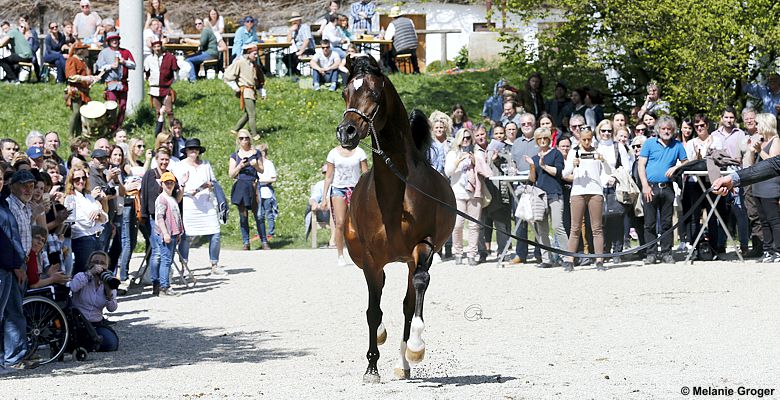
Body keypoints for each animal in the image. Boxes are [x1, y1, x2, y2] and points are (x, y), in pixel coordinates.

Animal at [336, 54, 458, 382]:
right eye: (345, 93)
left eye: (374, 94)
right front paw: (371, 368)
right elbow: (373, 310)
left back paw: (404, 362)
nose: (346, 132)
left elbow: (416, 290)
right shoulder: (370, 258)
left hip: (412, 258)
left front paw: (415, 348)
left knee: (409, 300)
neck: (394, 194)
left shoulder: (424, 247)